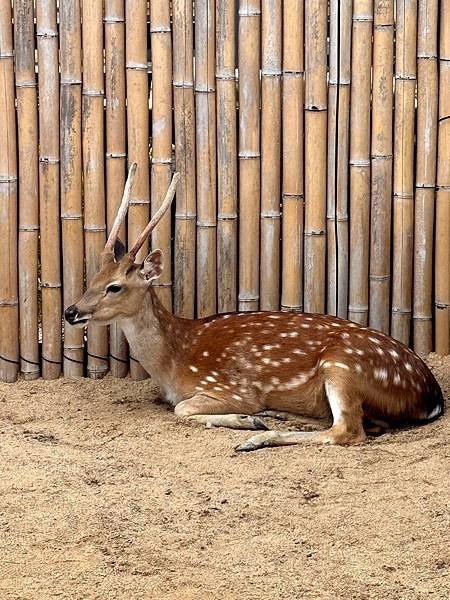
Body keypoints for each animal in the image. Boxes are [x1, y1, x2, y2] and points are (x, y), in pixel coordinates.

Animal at [65, 164, 444, 450]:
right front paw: (254, 419)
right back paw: (282, 417)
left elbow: (183, 409)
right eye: (93, 277)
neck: (175, 359)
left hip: (342, 366)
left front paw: (246, 419)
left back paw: (258, 437)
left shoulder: (231, 387)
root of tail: (432, 397)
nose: (71, 312)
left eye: (115, 287)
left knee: (348, 431)